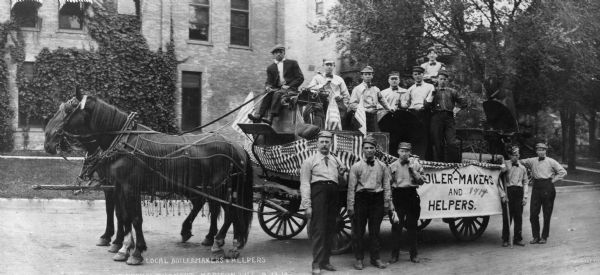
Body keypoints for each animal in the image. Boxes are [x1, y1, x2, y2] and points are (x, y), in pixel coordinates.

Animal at [44, 92, 253, 266]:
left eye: (68, 111)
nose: (47, 139)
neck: (123, 142)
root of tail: (235, 146)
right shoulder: (118, 187)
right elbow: (124, 216)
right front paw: (122, 247)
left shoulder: (129, 188)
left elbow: (134, 218)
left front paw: (135, 251)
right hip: (208, 187)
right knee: (218, 208)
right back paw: (219, 239)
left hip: (220, 187)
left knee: (230, 212)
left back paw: (221, 243)